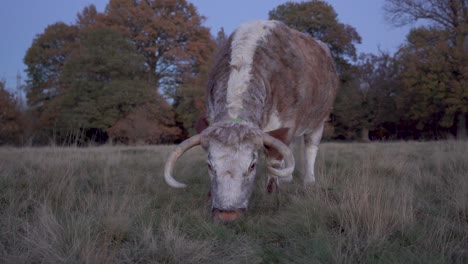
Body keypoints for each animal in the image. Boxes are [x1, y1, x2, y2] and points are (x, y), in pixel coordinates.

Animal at [164, 20, 336, 223]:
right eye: (210, 166)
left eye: (252, 165)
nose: (228, 214)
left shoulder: (286, 122)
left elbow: (275, 160)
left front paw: (272, 193)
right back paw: (287, 180)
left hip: (319, 121)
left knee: (310, 148)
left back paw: (309, 180)